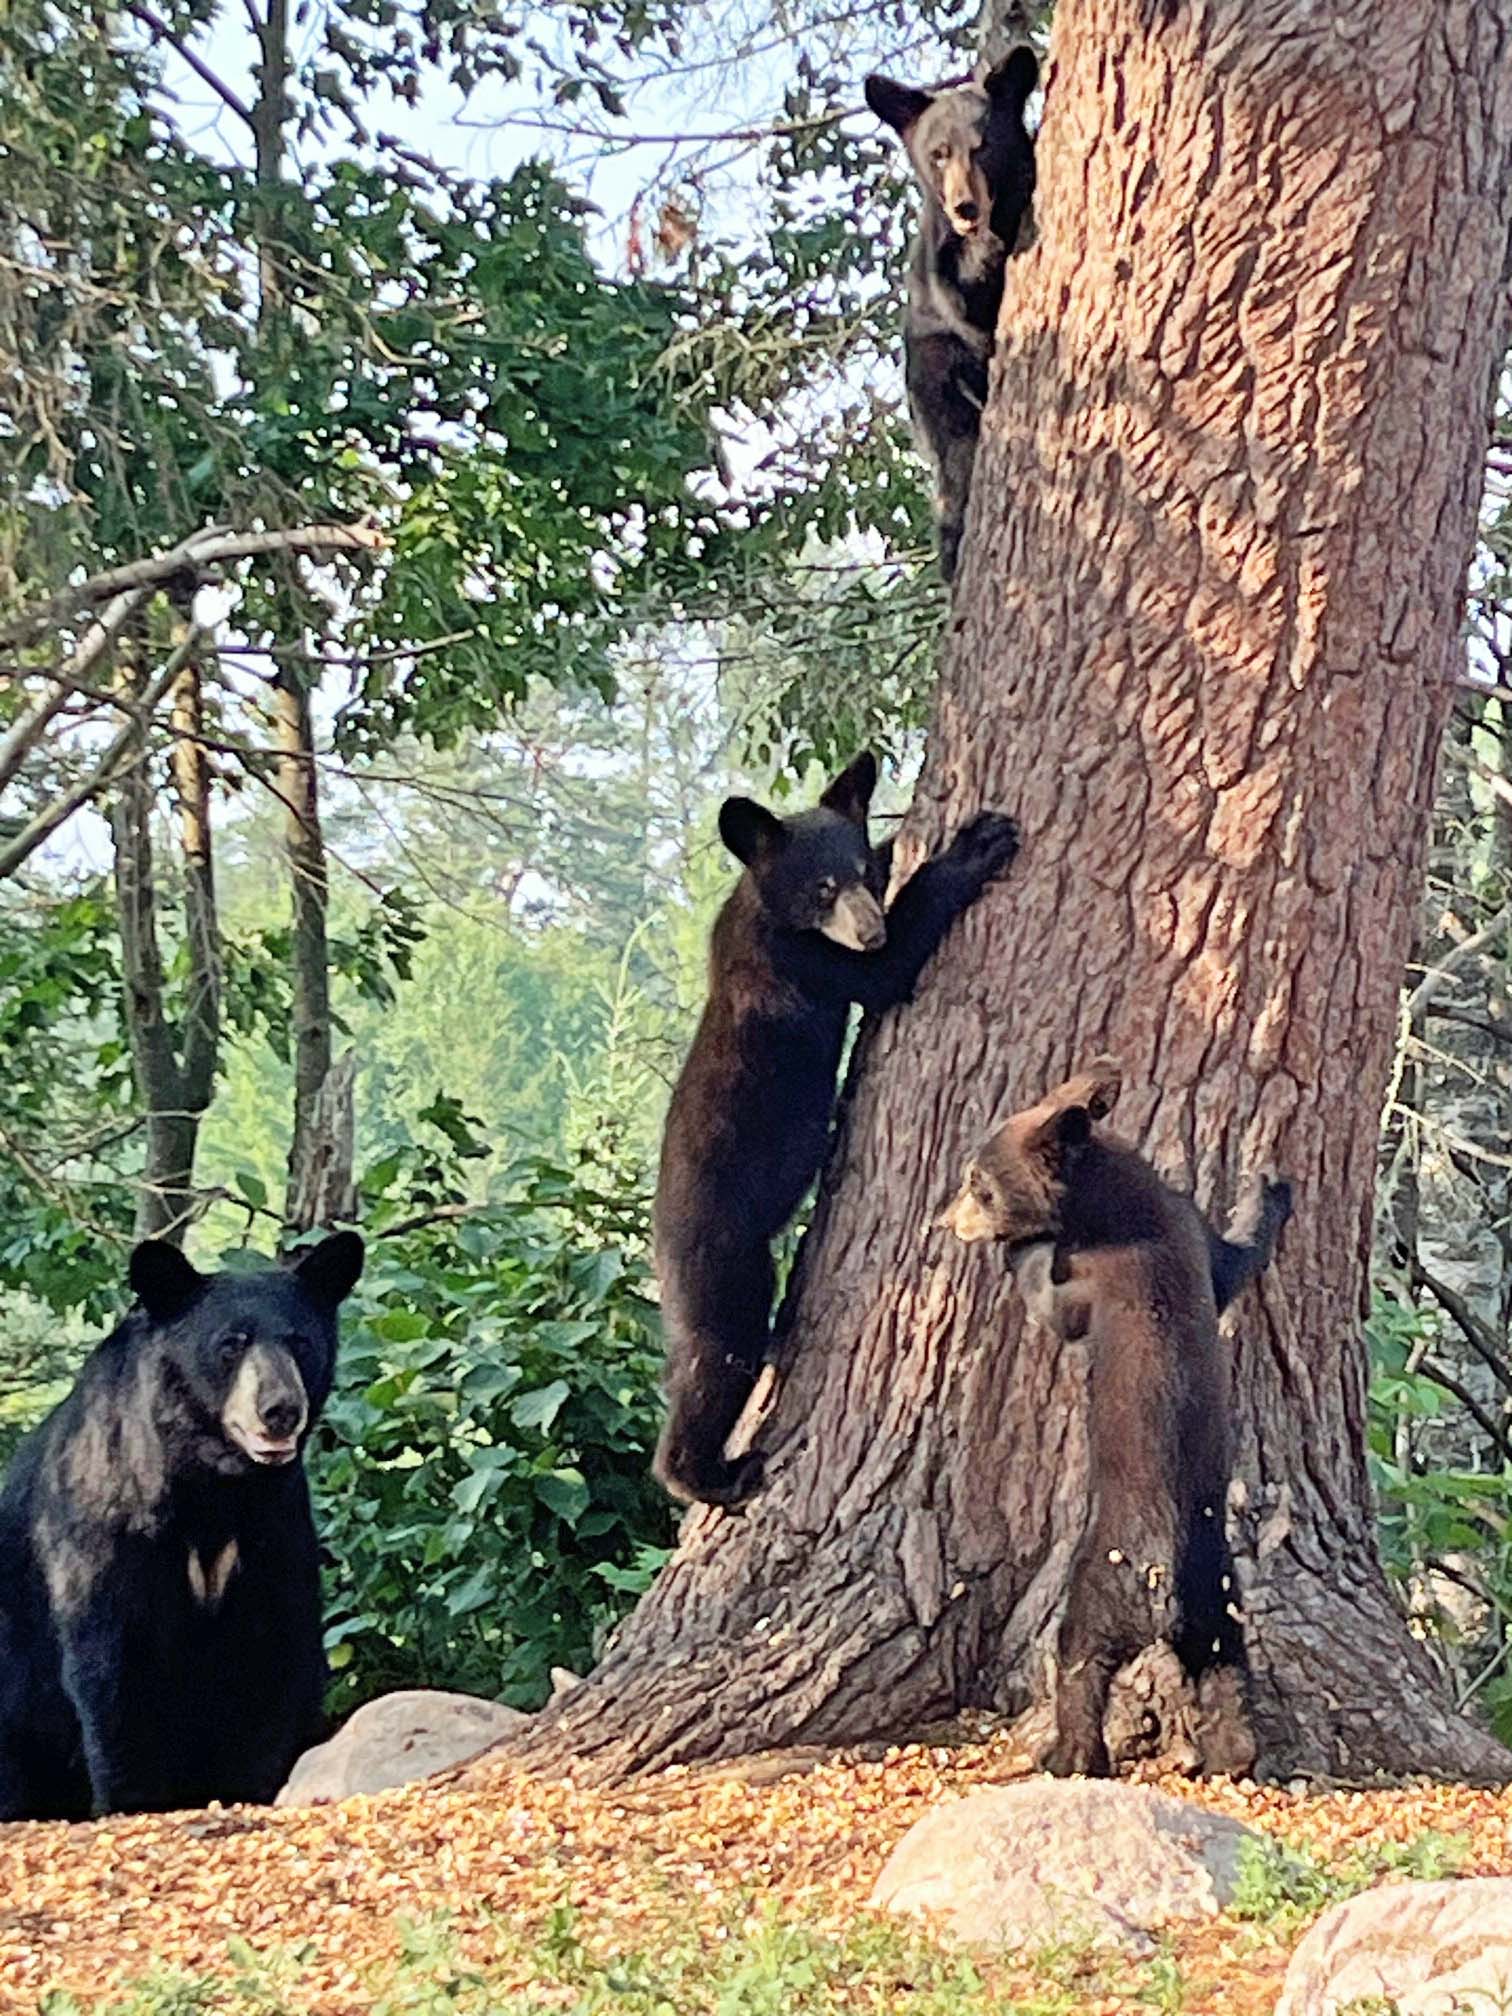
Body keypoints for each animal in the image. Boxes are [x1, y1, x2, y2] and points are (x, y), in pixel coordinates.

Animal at [0, 1231, 363, 1820]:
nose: (280, 1410)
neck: (212, 1489)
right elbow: (115, 1670)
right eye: (231, 1343)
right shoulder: (106, 1530)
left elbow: (273, 1662)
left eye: (300, 1341)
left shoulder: (273, 1528)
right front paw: (133, 1799)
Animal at [654, 753, 1019, 1510]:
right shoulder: (803, 961)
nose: (869, 927)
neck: (762, 911)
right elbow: (887, 972)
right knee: (719, 1356)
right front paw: (975, 844)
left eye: (859, 873)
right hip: (726, 1264)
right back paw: (714, 1476)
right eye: (822, 888)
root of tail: (660, 1252)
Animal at [865, 47, 1039, 583]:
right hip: (930, 372)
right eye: (938, 153)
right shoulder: (937, 271)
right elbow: (964, 300)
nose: (965, 207)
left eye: (982, 148)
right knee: (954, 448)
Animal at [940, 1059, 1291, 1776]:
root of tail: (1164, 1589)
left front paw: (1020, 1249)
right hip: (1219, 1610)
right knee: (1228, 1675)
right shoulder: (1194, 1236)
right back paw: (1233, 1757)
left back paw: (1066, 1754)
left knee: (1079, 1666)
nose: (947, 1221)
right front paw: (1270, 1189)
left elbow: (1056, 1307)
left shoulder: (1099, 1275)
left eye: (978, 1187)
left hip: (1096, 1593)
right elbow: (1235, 1262)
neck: (1113, 1197)